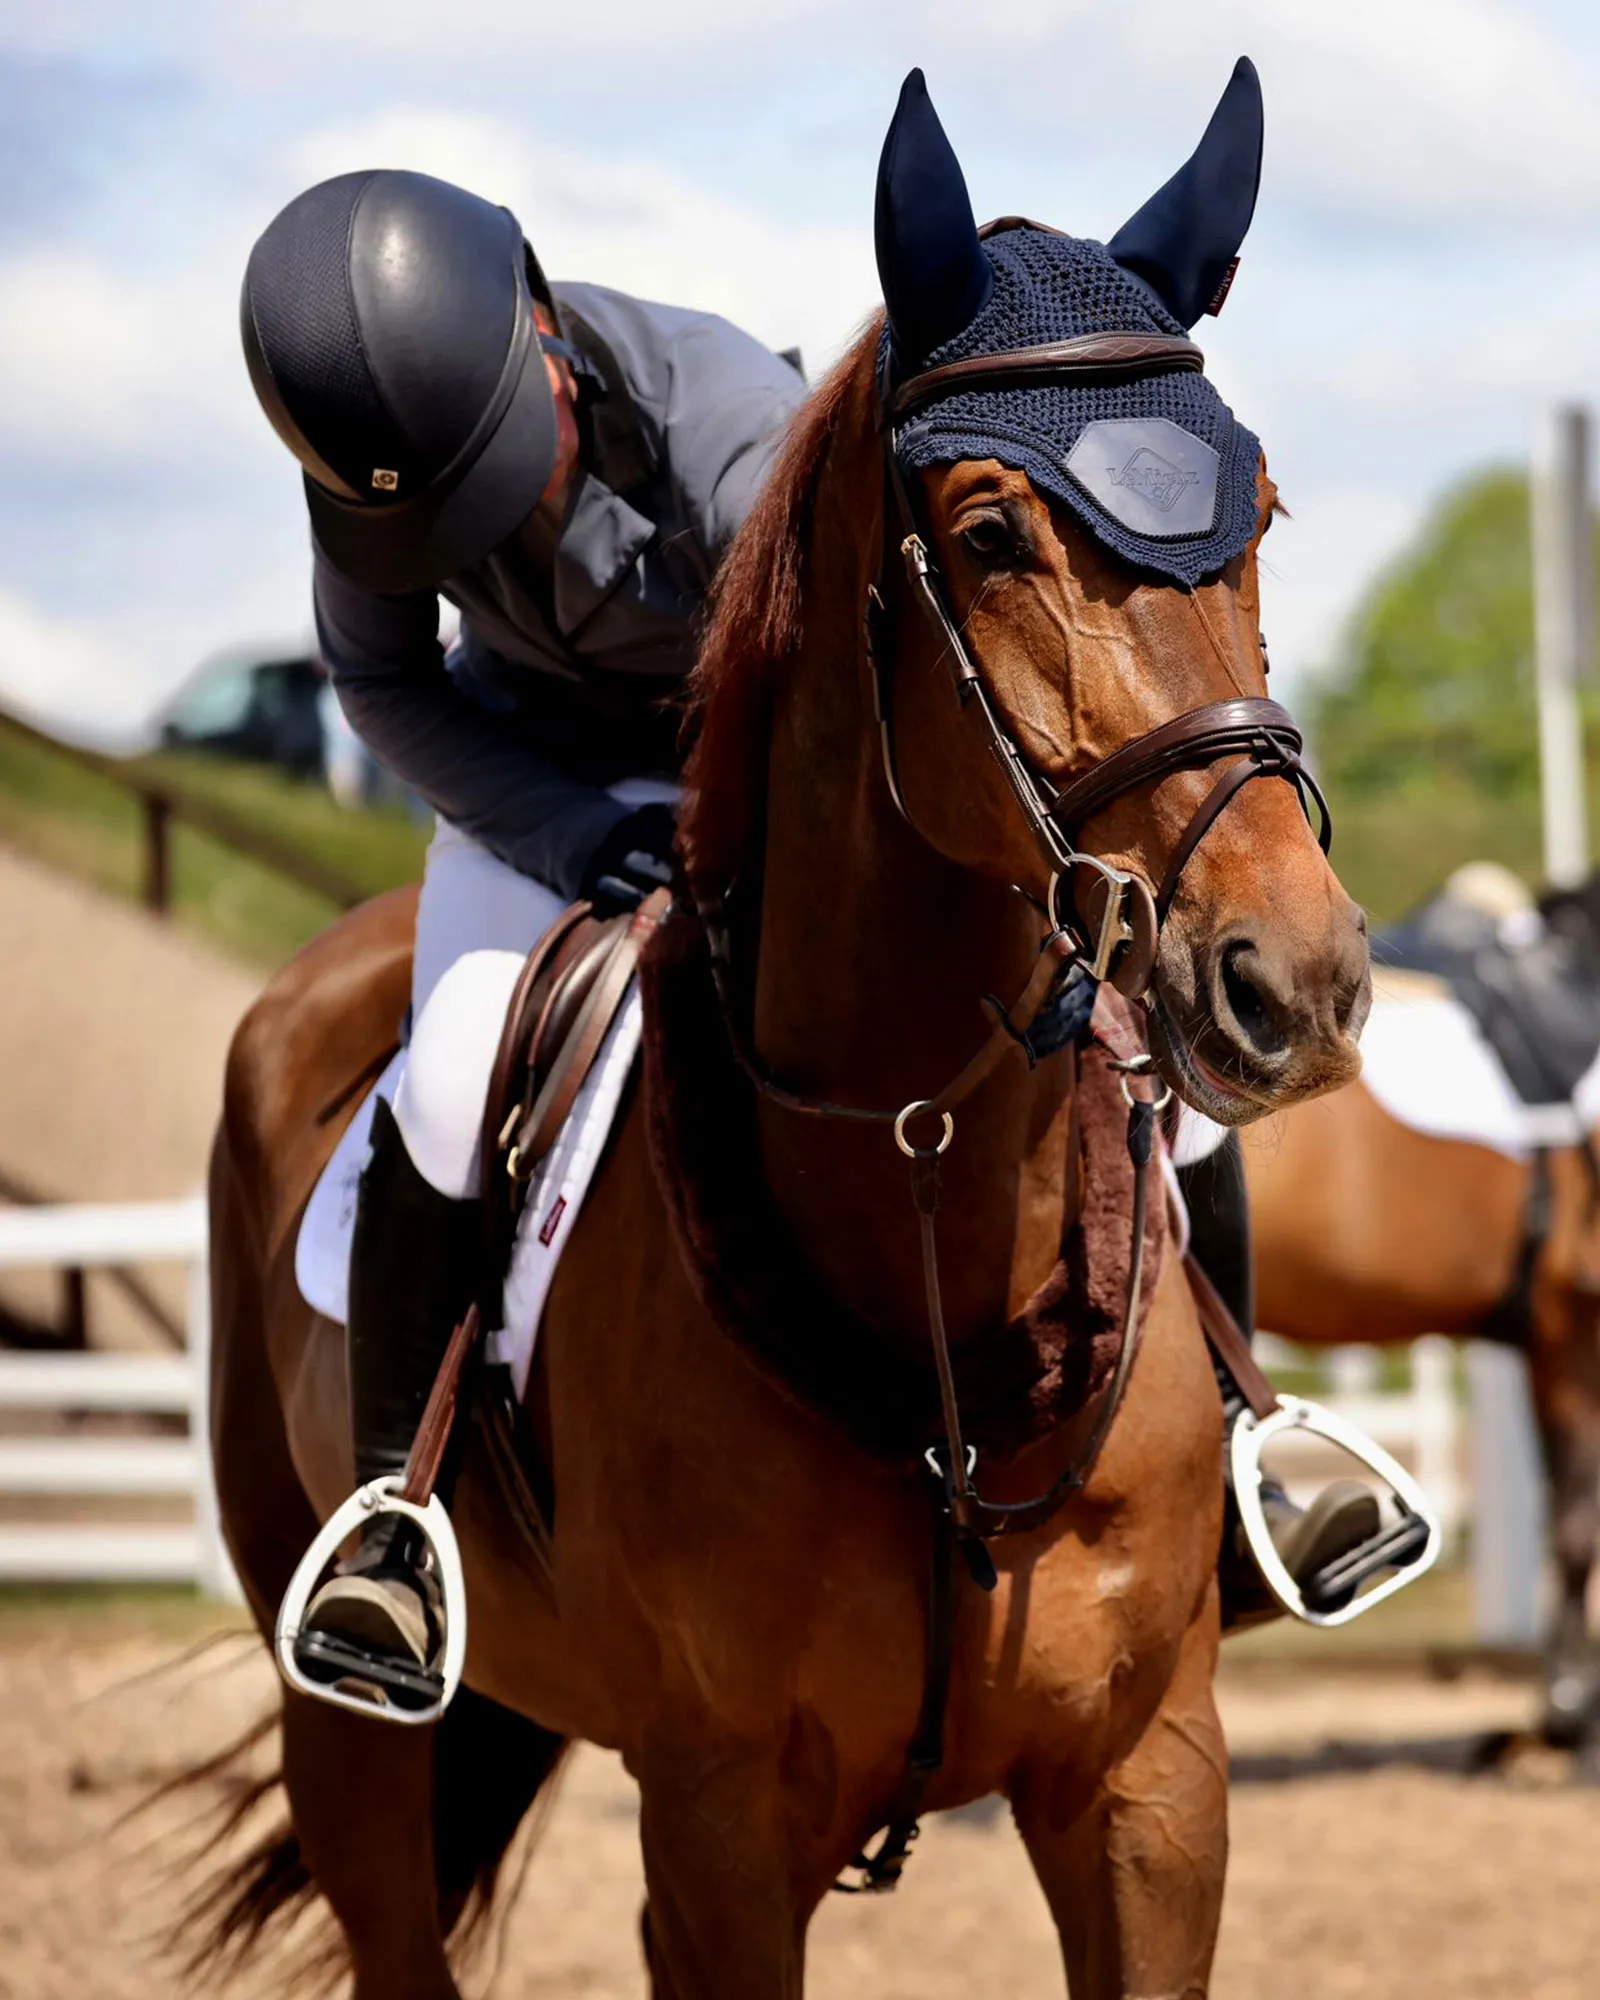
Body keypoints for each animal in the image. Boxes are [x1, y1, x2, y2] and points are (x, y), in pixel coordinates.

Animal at [198, 73, 1369, 1999]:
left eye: (1260, 510)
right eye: (988, 537)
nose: (1301, 986)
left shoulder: (1150, 1787)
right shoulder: (722, 1833)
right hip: (343, 1719)